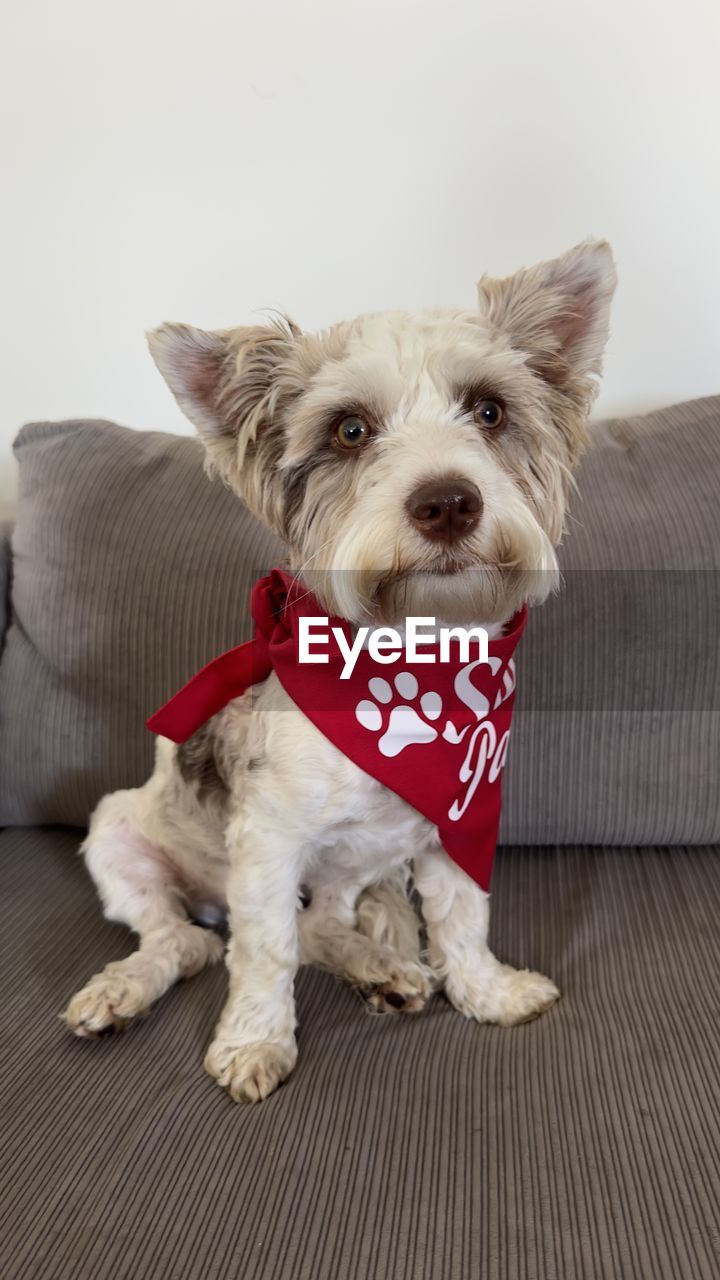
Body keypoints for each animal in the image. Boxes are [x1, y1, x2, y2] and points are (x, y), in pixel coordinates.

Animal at [63, 244, 609, 1105]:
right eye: (350, 430)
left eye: (489, 411)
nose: (448, 502)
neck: (410, 670)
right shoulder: (267, 841)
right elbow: (265, 953)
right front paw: (255, 1042)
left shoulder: (458, 822)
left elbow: (461, 918)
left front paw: (487, 993)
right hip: (117, 832)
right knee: (186, 942)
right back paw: (126, 987)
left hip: (355, 866)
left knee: (318, 923)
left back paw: (383, 967)